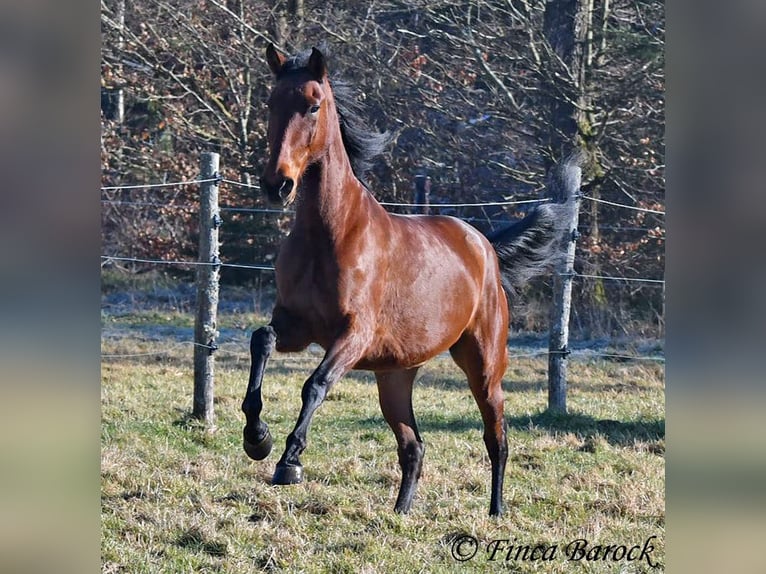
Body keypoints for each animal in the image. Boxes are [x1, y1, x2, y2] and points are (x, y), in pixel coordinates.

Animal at [243, 42, 580, 516]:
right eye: (272, 104)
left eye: (313, 105)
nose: (278, 184)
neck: (331, 233)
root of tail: (484, 245)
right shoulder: (296, 325)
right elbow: (262, 340)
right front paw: (257, 438)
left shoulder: (353, 334)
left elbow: (315, 384)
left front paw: (289, 461)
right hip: (395, 377)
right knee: (413, 446)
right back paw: (401, 514)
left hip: (483, 366)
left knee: (496, 437)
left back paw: (496, 512)